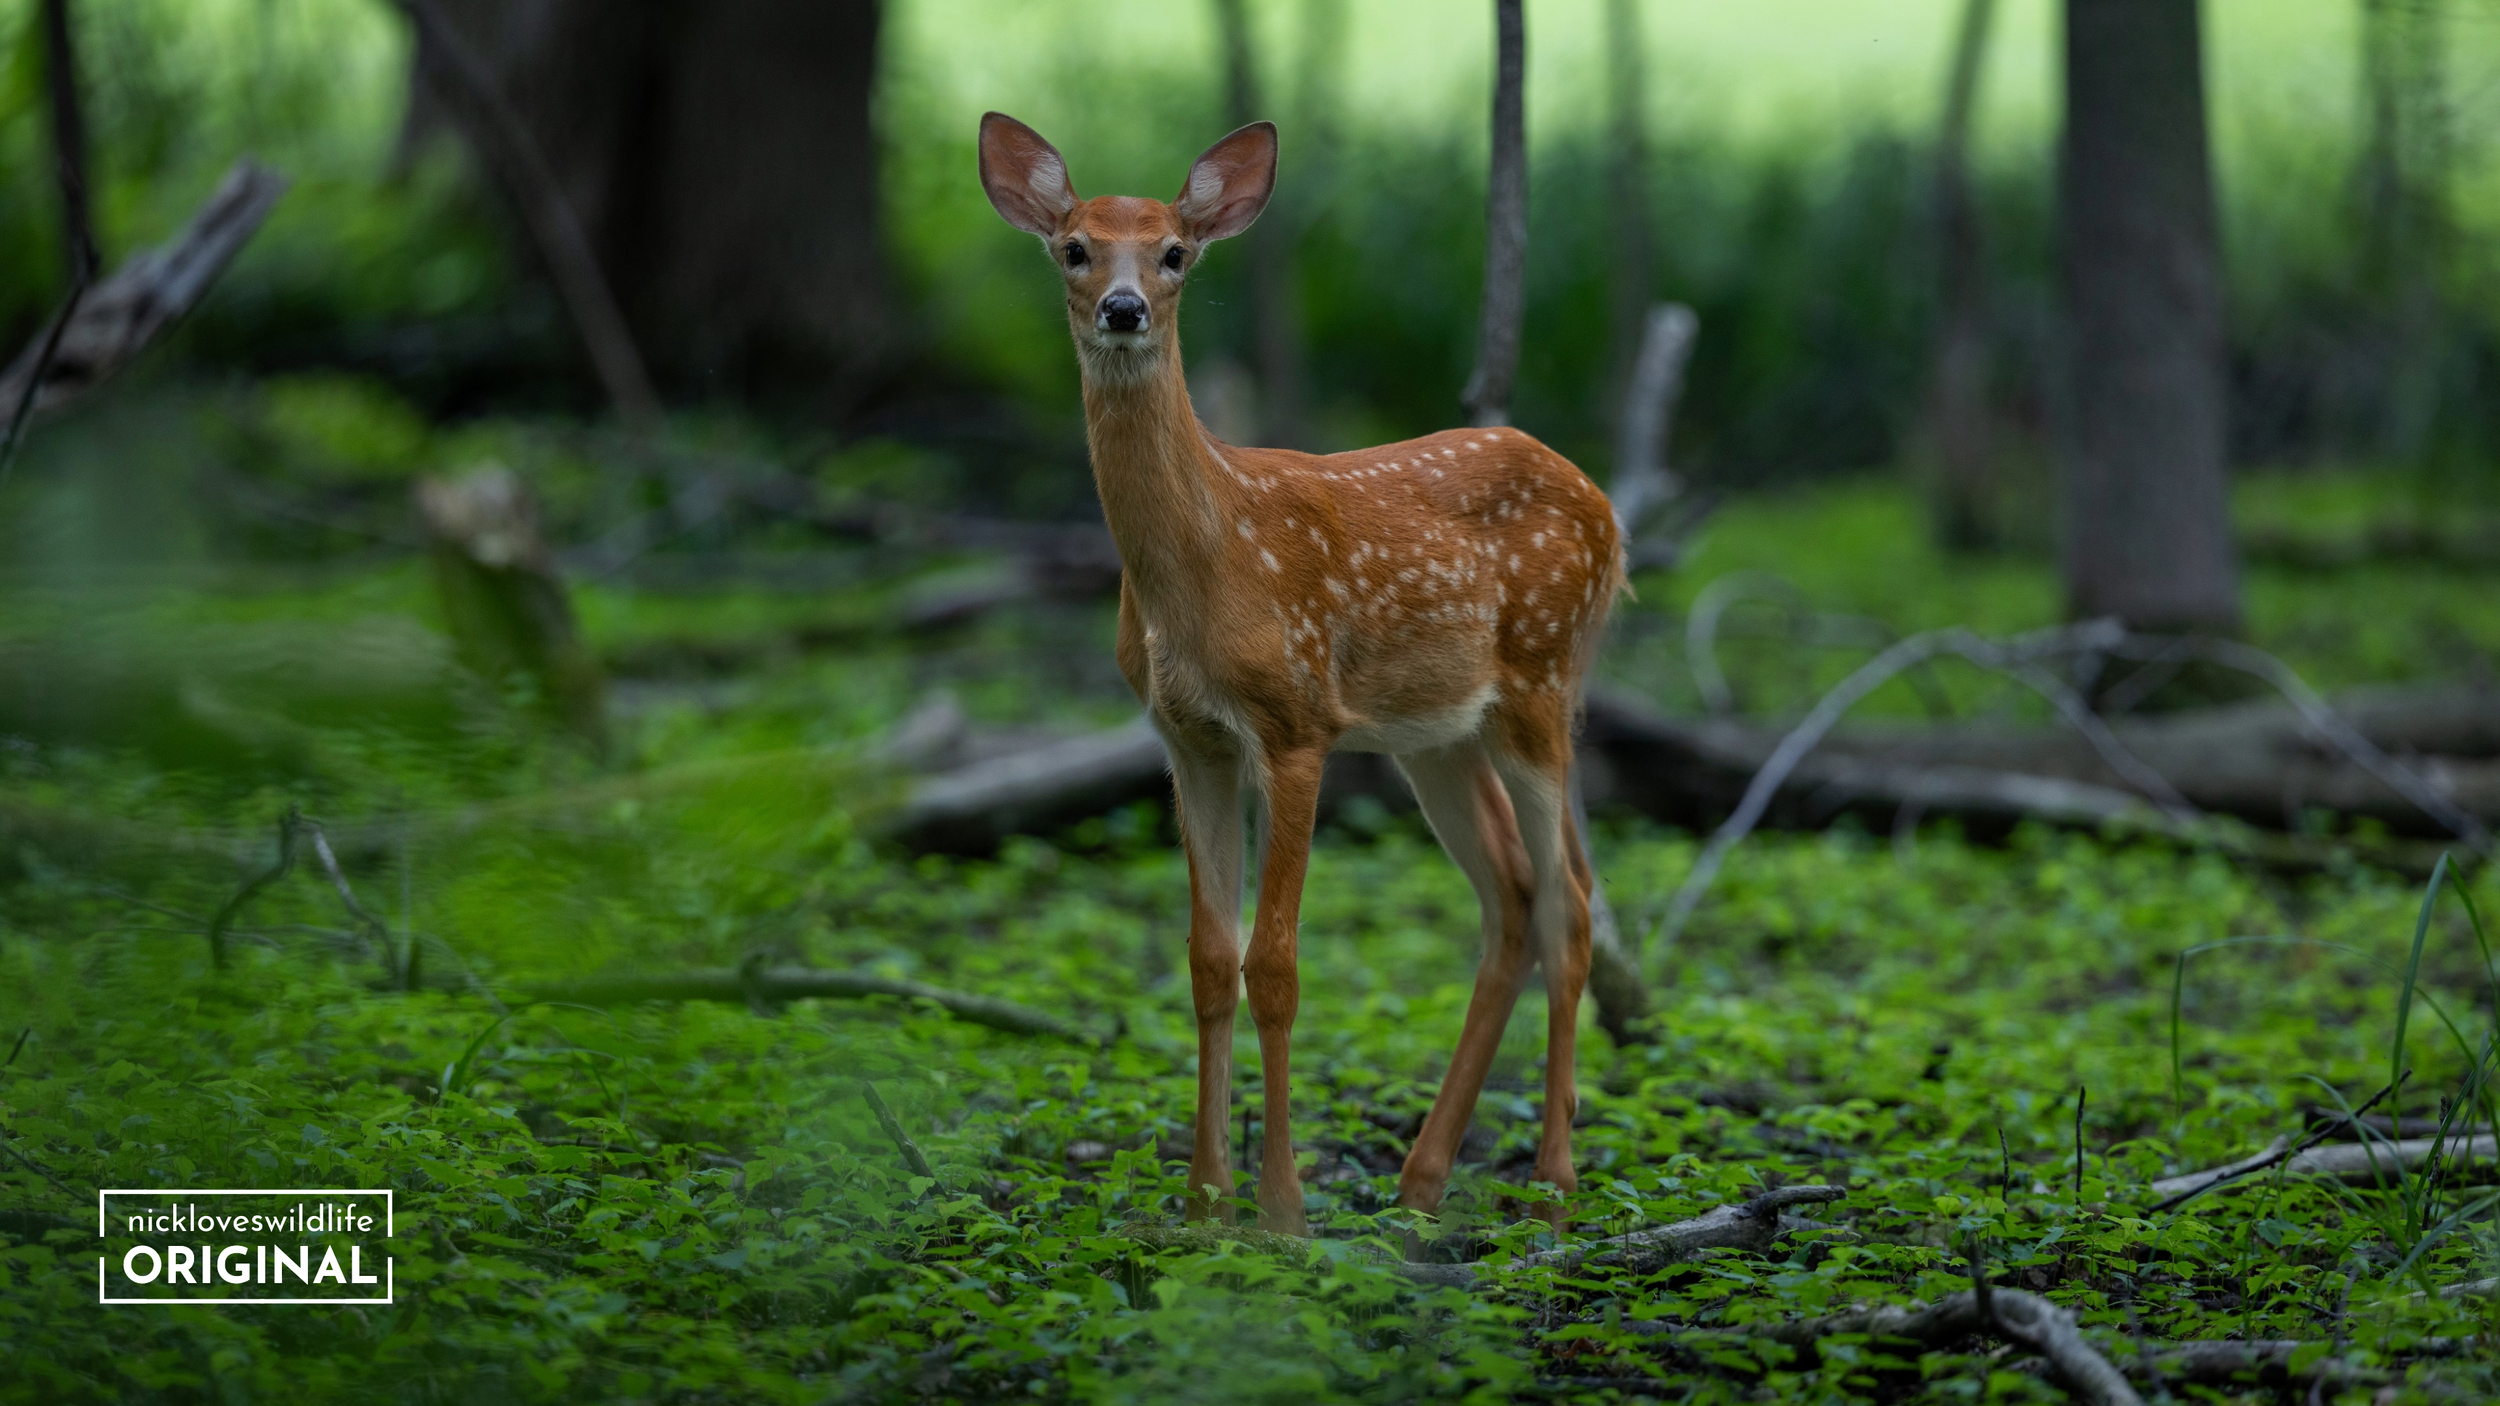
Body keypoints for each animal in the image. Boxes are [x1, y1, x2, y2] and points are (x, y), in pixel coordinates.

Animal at [978, 113, 1624, 1236]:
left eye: (1174, 253)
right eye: (1074, 248)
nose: (1122, 308)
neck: (1206, 562)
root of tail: (1610, 512)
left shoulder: (1295, 721)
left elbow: (1273, 962)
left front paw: (1280, 1207)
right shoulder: (1187, 738)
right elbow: (1206, 958)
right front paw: (1205, 1198)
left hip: (1543, 681)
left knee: (1571, 901)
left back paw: (1551, 1183)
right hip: (1439, 732)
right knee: (1511, 892)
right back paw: (1421, 1181)